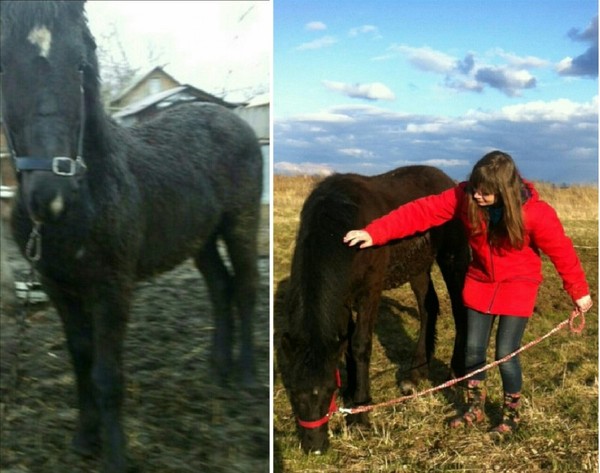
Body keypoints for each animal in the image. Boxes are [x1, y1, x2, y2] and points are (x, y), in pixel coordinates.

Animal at [0, 1, 262, 470]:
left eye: (80, 64)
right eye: (3, 65)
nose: (50, 195)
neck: (91, 192)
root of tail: (228, 117)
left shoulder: (113, 288)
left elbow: (107, 375)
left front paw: (116, 456)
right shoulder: (59, 286)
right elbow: (80, 359)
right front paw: (84, 439)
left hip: (240, 224)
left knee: (247, 286)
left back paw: (246, 375)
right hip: (200, 238)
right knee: (220, 287)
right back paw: (218, 370)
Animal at [278, 166, 472, 454]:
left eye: (328, 390)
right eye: (293, 391)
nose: (315, 447)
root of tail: (448, 181)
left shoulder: (369, 292)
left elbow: (359, 345)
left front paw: (361, 412)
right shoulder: (343, 297)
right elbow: (345, 343)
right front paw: (351, 392)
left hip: (451, 258)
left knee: (460, 311)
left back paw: (457, 373)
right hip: (417, 267)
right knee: (428, 308)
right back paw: (415, 373)